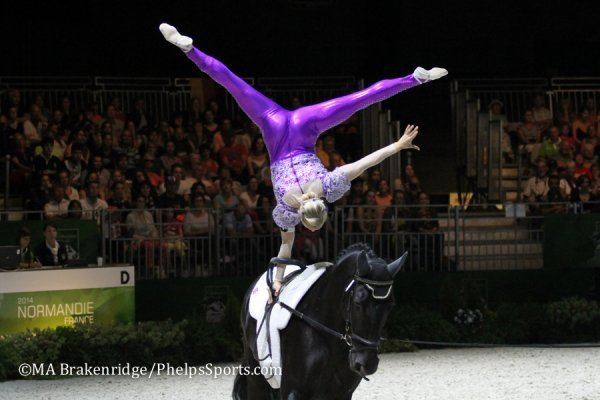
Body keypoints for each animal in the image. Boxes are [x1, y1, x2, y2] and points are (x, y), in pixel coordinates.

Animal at [232, 244, 406, 400]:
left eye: (391, 305)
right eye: (358, 301)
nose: (367, 363)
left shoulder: (342, 393)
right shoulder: (292, 390)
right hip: (256, 374)